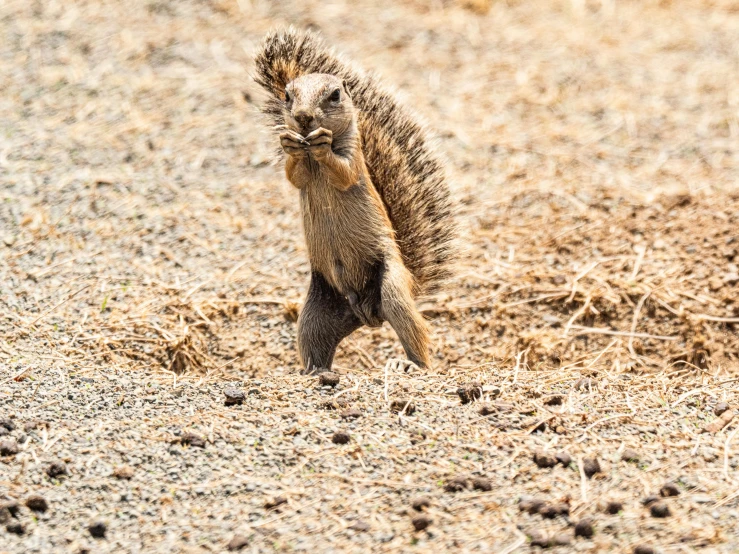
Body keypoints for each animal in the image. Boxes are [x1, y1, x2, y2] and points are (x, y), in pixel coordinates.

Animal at [254, 28, 456, 374]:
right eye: (287, 96)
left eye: (335, 94)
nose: (303, 117)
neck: (312, 156)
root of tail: (367, 314)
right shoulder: (301, 171)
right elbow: (294, 176)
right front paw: (290, 144)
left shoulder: (353, 160)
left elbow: (343, 172)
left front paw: (323, 146)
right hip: (316, 313)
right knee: (315, 343)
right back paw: (312, 371)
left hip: (391, 288)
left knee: (413, 333)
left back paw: (412, 365)